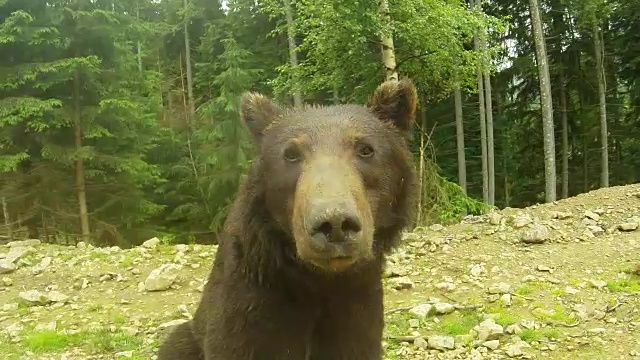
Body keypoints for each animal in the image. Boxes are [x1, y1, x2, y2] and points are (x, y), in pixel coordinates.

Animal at [156, 79, 420, 360]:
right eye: (291, 153)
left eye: (365, 149)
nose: (335, 223)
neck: (317, 278)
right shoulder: (251, 305)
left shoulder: (356, 304)